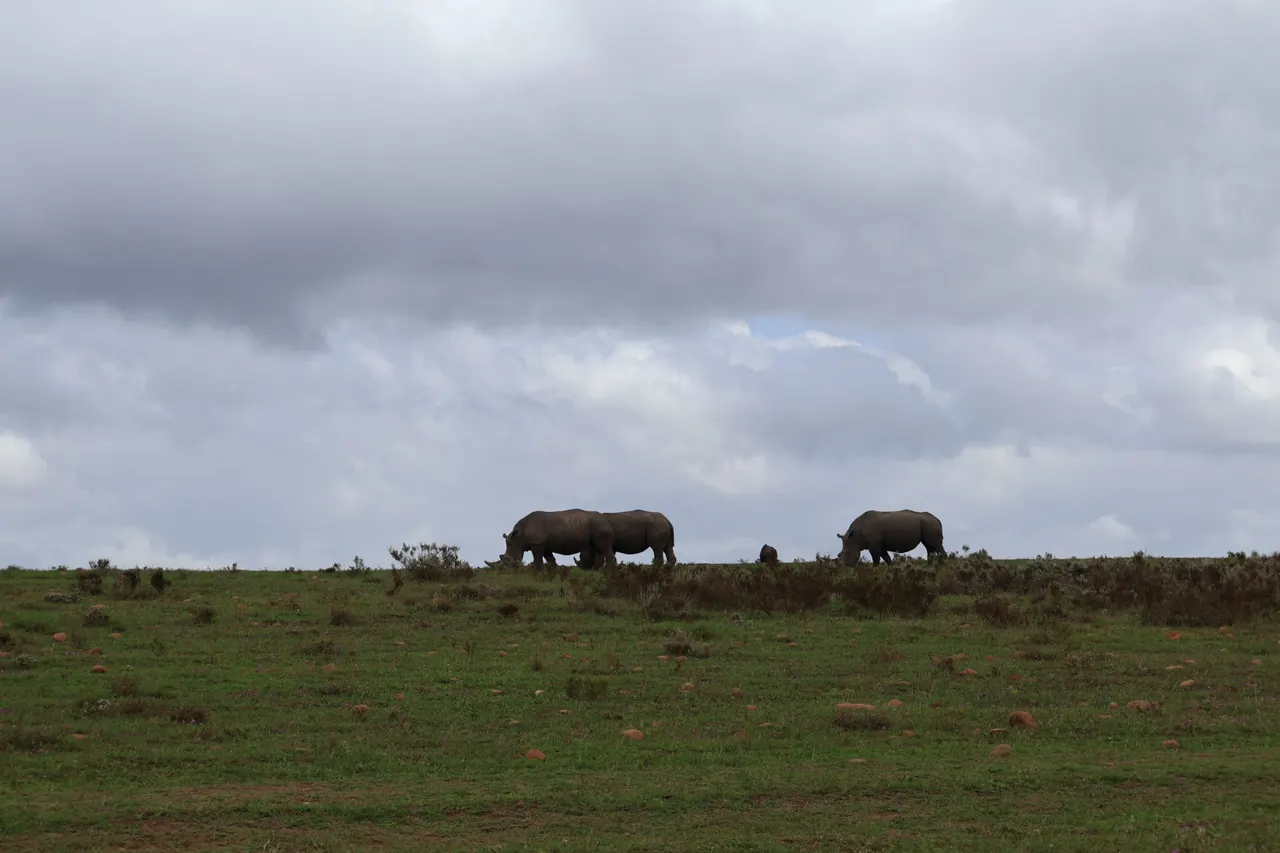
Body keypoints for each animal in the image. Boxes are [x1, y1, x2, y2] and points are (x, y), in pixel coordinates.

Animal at [485, 509, 617, 573]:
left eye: (509, 561)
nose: (503, 570)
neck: (519, 535)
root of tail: (607, 519)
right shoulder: (544, 544)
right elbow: (550, 559)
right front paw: (554, 572)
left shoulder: (536, 542)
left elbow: (538, 558)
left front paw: (539, 573)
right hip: (595, 524)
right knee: (596, 548)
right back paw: (595, 572)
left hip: (599, 524)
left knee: (603, 546)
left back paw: (608, 572)